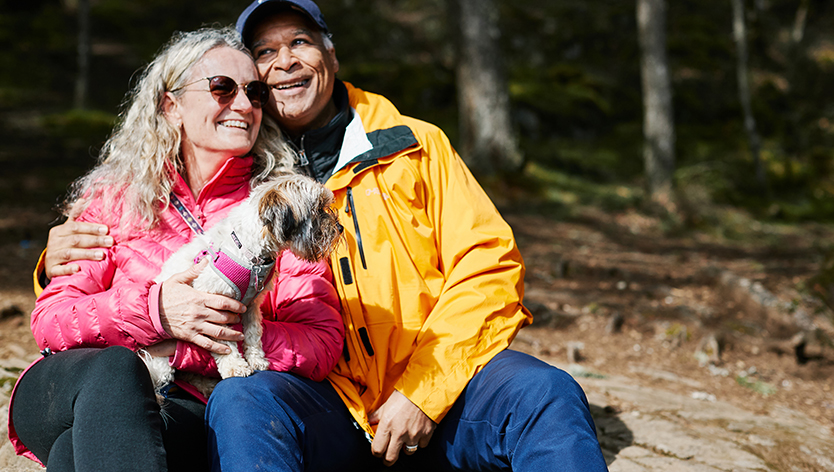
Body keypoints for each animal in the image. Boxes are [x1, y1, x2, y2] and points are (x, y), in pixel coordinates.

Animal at [143, 171, 342, 400]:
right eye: (318, 210)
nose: (340, 228)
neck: (251, 255)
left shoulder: (252, 305)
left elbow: (253, 334)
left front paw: (256, 359)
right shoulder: (211, 306)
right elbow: (224, 343)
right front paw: (234, 366)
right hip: (161, 364)